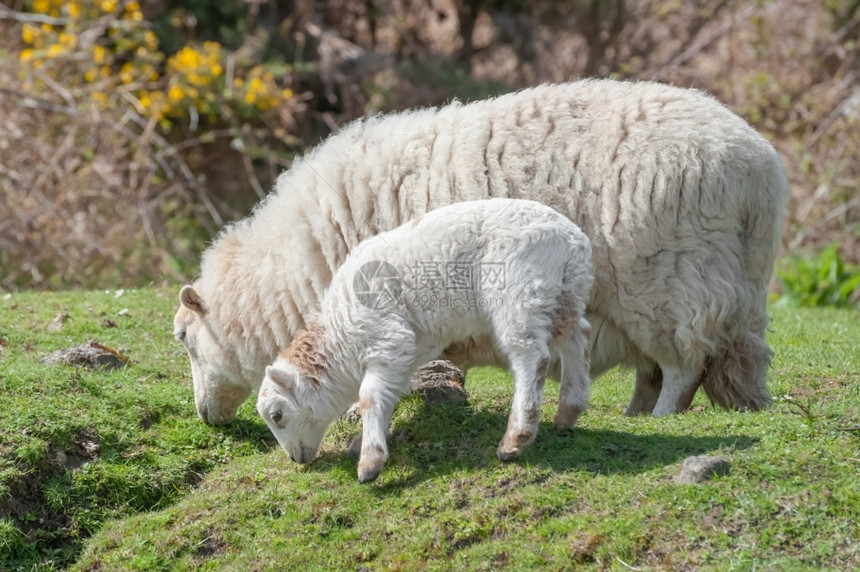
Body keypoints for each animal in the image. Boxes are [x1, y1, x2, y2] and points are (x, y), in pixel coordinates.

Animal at [176, 77, 792, 424]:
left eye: (184, 340)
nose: (205, 416)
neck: (294, 263)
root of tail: (762, 171)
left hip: (670, 281)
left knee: (683, 364)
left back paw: (660, 418)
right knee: (662, 368)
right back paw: (637, 413)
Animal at [255, 198, 592, 482]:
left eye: (277, 415)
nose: (296, 459)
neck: (340, 340)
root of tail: (573, 239)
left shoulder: (386, 336)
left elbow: (369, 396)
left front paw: (369, 463)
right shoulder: (405, 350)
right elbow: (388, 395)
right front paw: (363, 442)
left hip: (520, 292)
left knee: (531, 356)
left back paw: (515, 438)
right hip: (565, 294)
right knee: (577, 338)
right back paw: (568, 412)